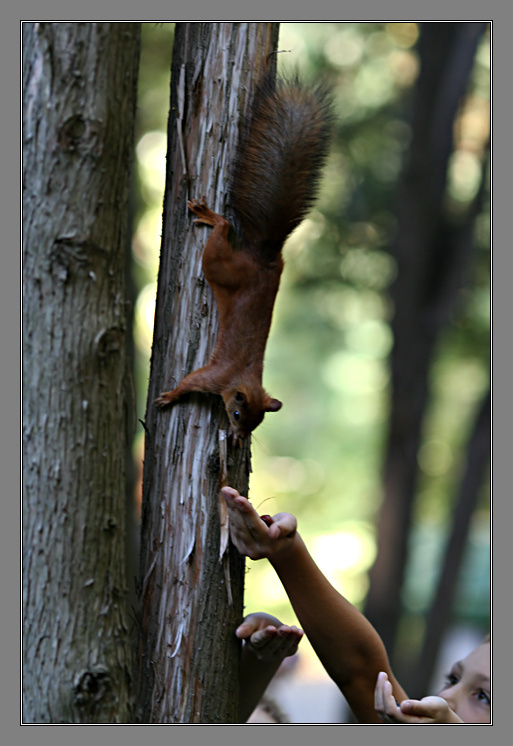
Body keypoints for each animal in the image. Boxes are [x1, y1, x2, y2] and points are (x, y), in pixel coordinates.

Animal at [155, 73, 333, 441]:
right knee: (222, 232)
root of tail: (266, 257)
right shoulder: (215, 375)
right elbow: (190, 381)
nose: (237, 436)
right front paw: (171, 396)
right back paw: (211, 217)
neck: (243, 378)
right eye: (237, 413)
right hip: (219, 265)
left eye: (257, 422)